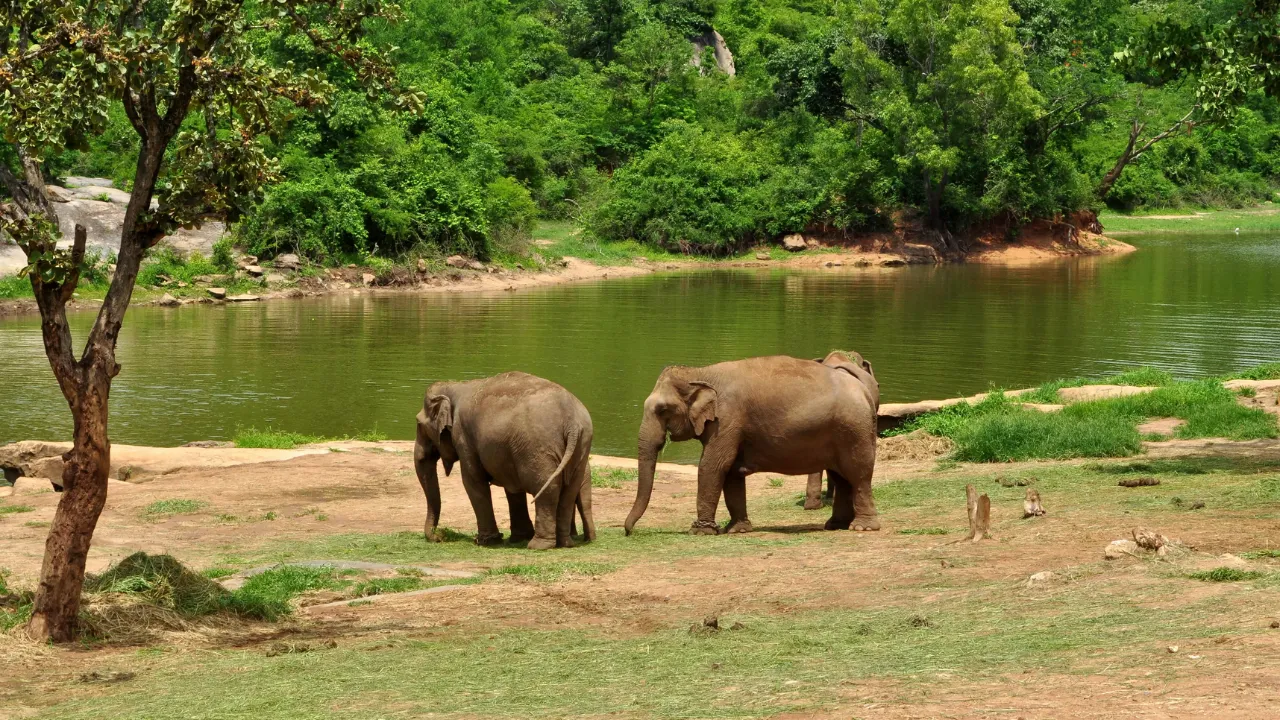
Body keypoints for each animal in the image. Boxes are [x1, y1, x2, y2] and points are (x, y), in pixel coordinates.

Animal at [412, 371, 596, 545]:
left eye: (419, 424)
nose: (440, 537)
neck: (455, 385)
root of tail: (572, 424)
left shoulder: (463, 436)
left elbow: (473, 481)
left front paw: (486, 542)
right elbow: (512, 487)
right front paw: (518, 538)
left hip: (539, 447)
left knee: (547, 488)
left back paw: (538, 545)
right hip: (580, 446)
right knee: (569, 491)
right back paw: (565, 543)